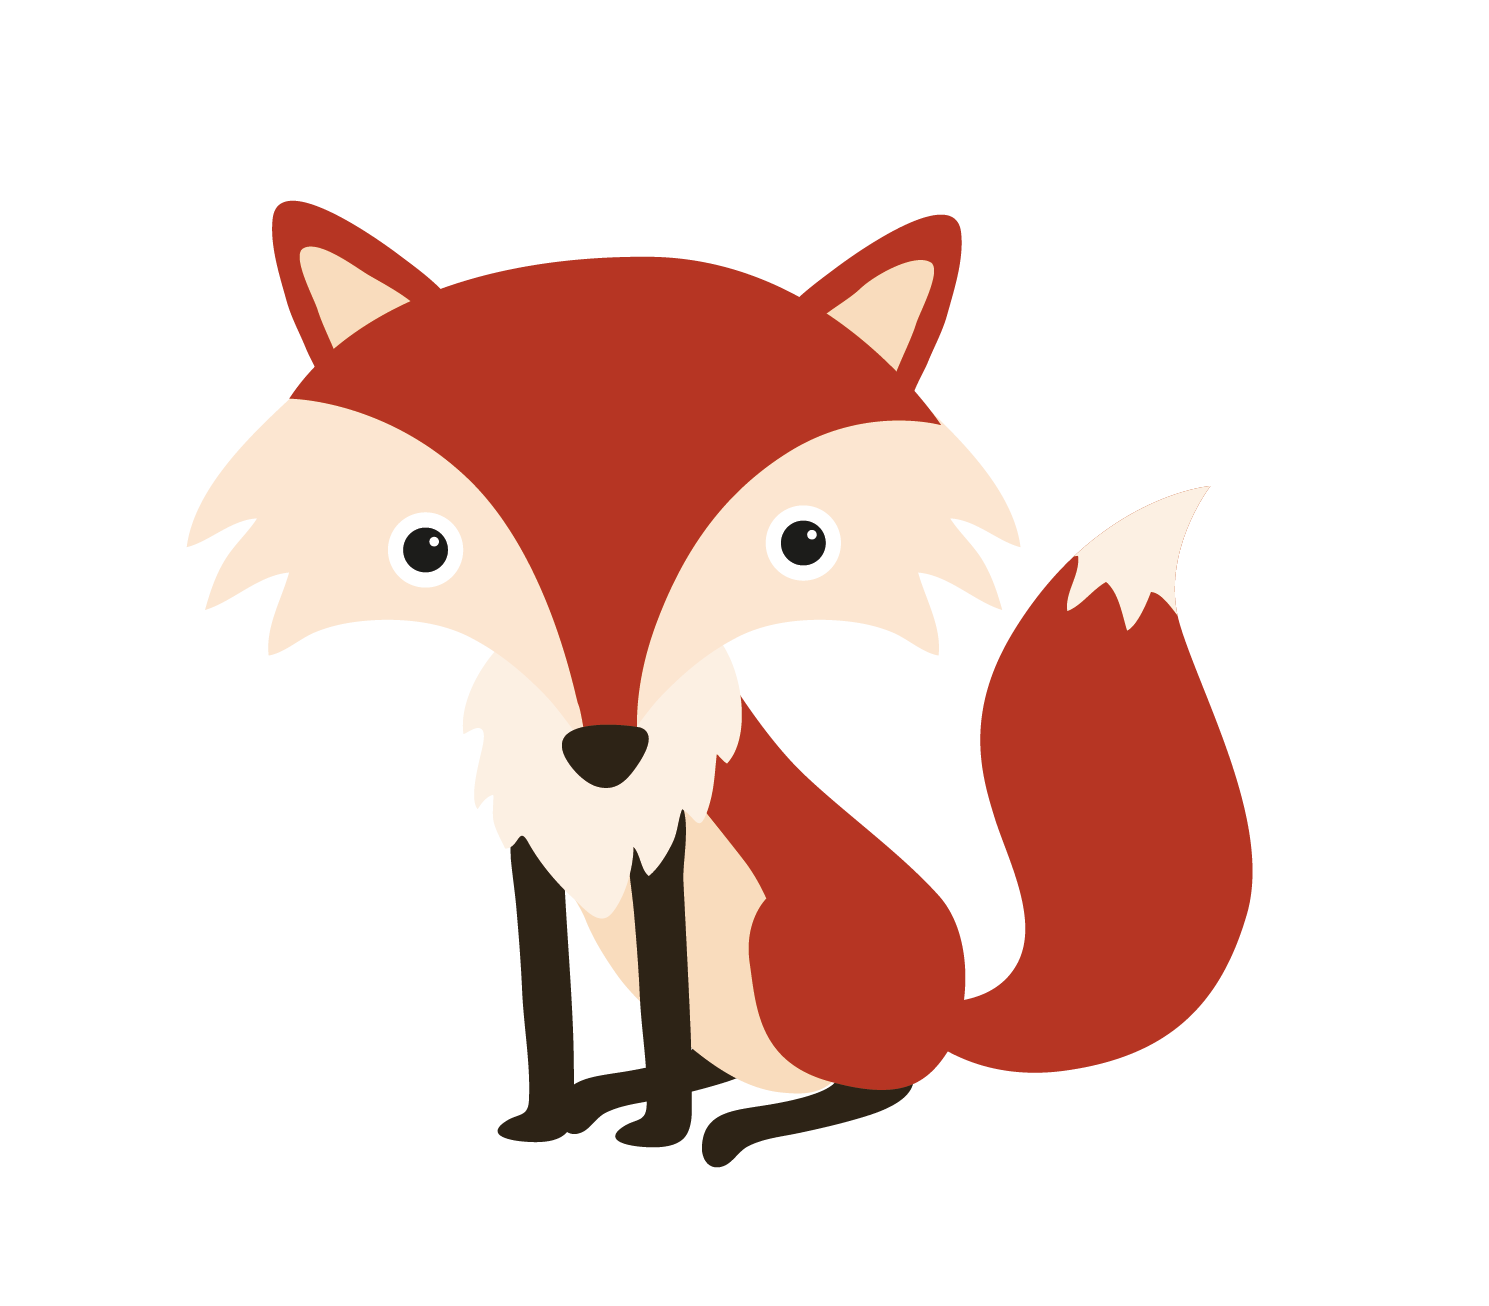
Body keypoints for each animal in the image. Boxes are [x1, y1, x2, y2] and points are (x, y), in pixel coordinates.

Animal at [189, 202, 1252, 1167]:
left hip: (783, 949)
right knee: (729, 1062)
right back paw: (623, 1095)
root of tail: (949, 1001)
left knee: (871, 1087)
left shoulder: (665, 854)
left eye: (803, 543)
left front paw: (656, 1132)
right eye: (425, 549)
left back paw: (736, 1127)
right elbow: (548, 1010)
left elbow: (663, 1011)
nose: (606, 753)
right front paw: (548, 1116)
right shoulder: (532, 859)